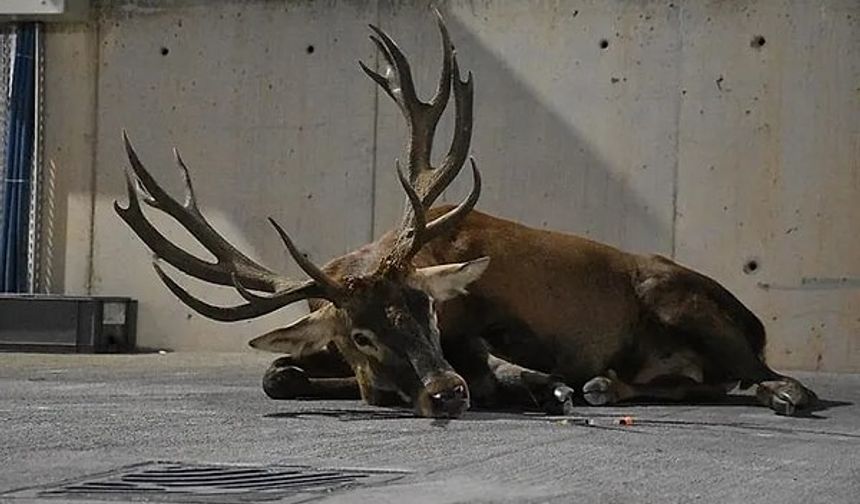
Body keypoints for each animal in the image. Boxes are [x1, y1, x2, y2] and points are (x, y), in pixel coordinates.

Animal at [114, 12, 812, 422]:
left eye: (428, 308)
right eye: (359, 335)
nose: (446, 391)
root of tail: (754, 321)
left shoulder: (503, 324)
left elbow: (500, 361)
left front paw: (534, 383)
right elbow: (276, 375)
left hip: (681, 300)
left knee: (769, 376)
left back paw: (772, 392)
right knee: (706, 382)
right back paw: (606, 386)